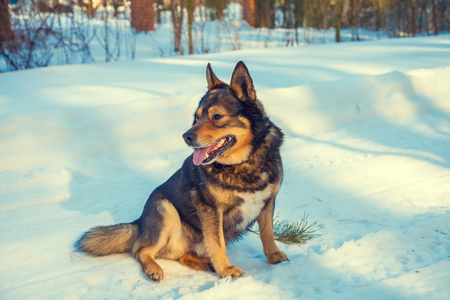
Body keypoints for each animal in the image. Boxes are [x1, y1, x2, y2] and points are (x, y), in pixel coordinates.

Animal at [77, 60, 288, 282]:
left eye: (217, 116)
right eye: (196, 117)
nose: (186, 136)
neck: (244, 162)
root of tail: (140, 222)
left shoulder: (268, 202)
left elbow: (267, 233)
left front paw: (273, 255)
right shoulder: (211, 210)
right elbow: (218, 244)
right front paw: (226, 270)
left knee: (183, 256)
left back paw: (206, 264)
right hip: (165, 209)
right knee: (140, 250)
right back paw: (154, 268)